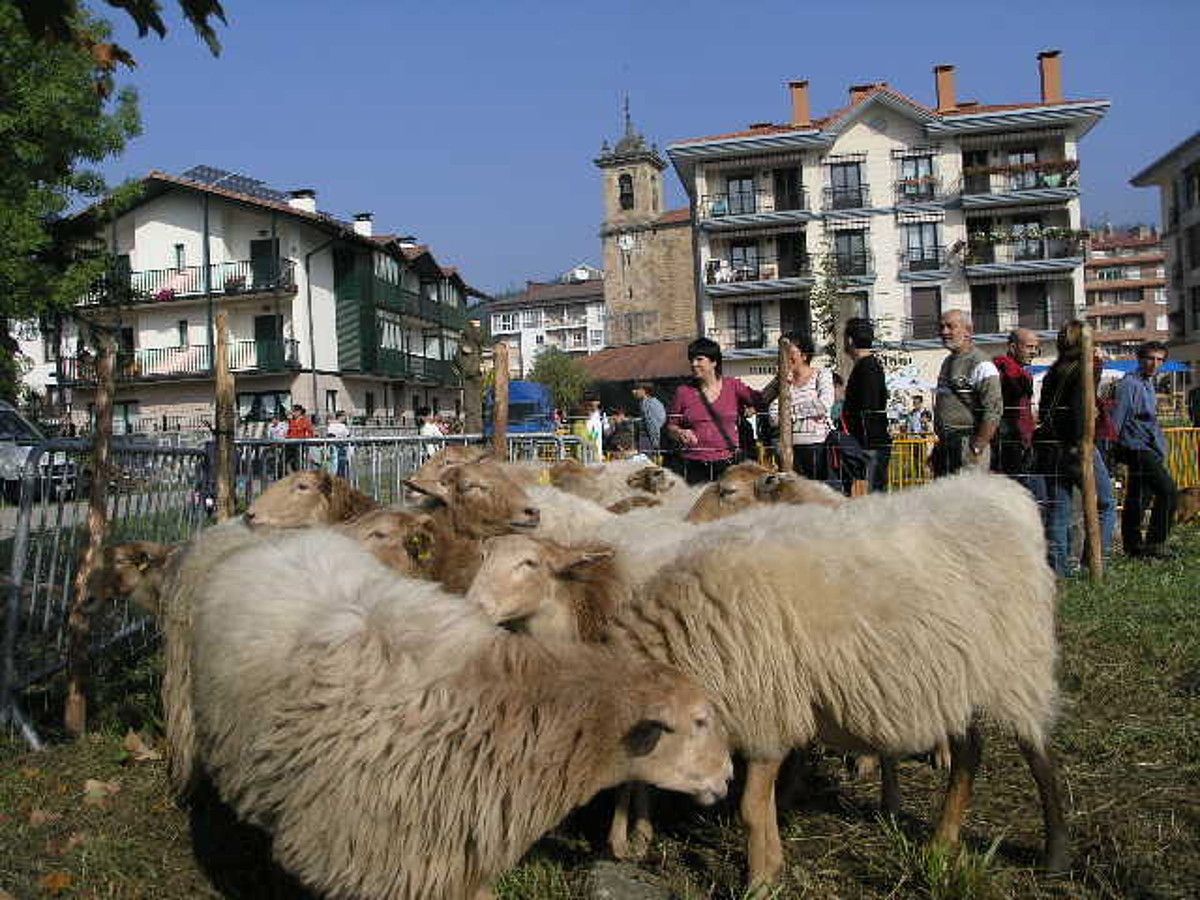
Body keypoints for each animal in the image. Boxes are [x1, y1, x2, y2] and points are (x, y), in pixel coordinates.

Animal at [468, 472, 1070, 888]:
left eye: (528, 565)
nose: (473, 605)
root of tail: (1002, 488)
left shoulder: (764, 708)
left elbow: (752, 809)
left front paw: (759, 877)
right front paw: (630, 841)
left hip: (1020, 661)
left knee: (1039, 755)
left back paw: (1055, 853)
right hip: (954, 676)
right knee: (970, 752)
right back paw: (941, 845)